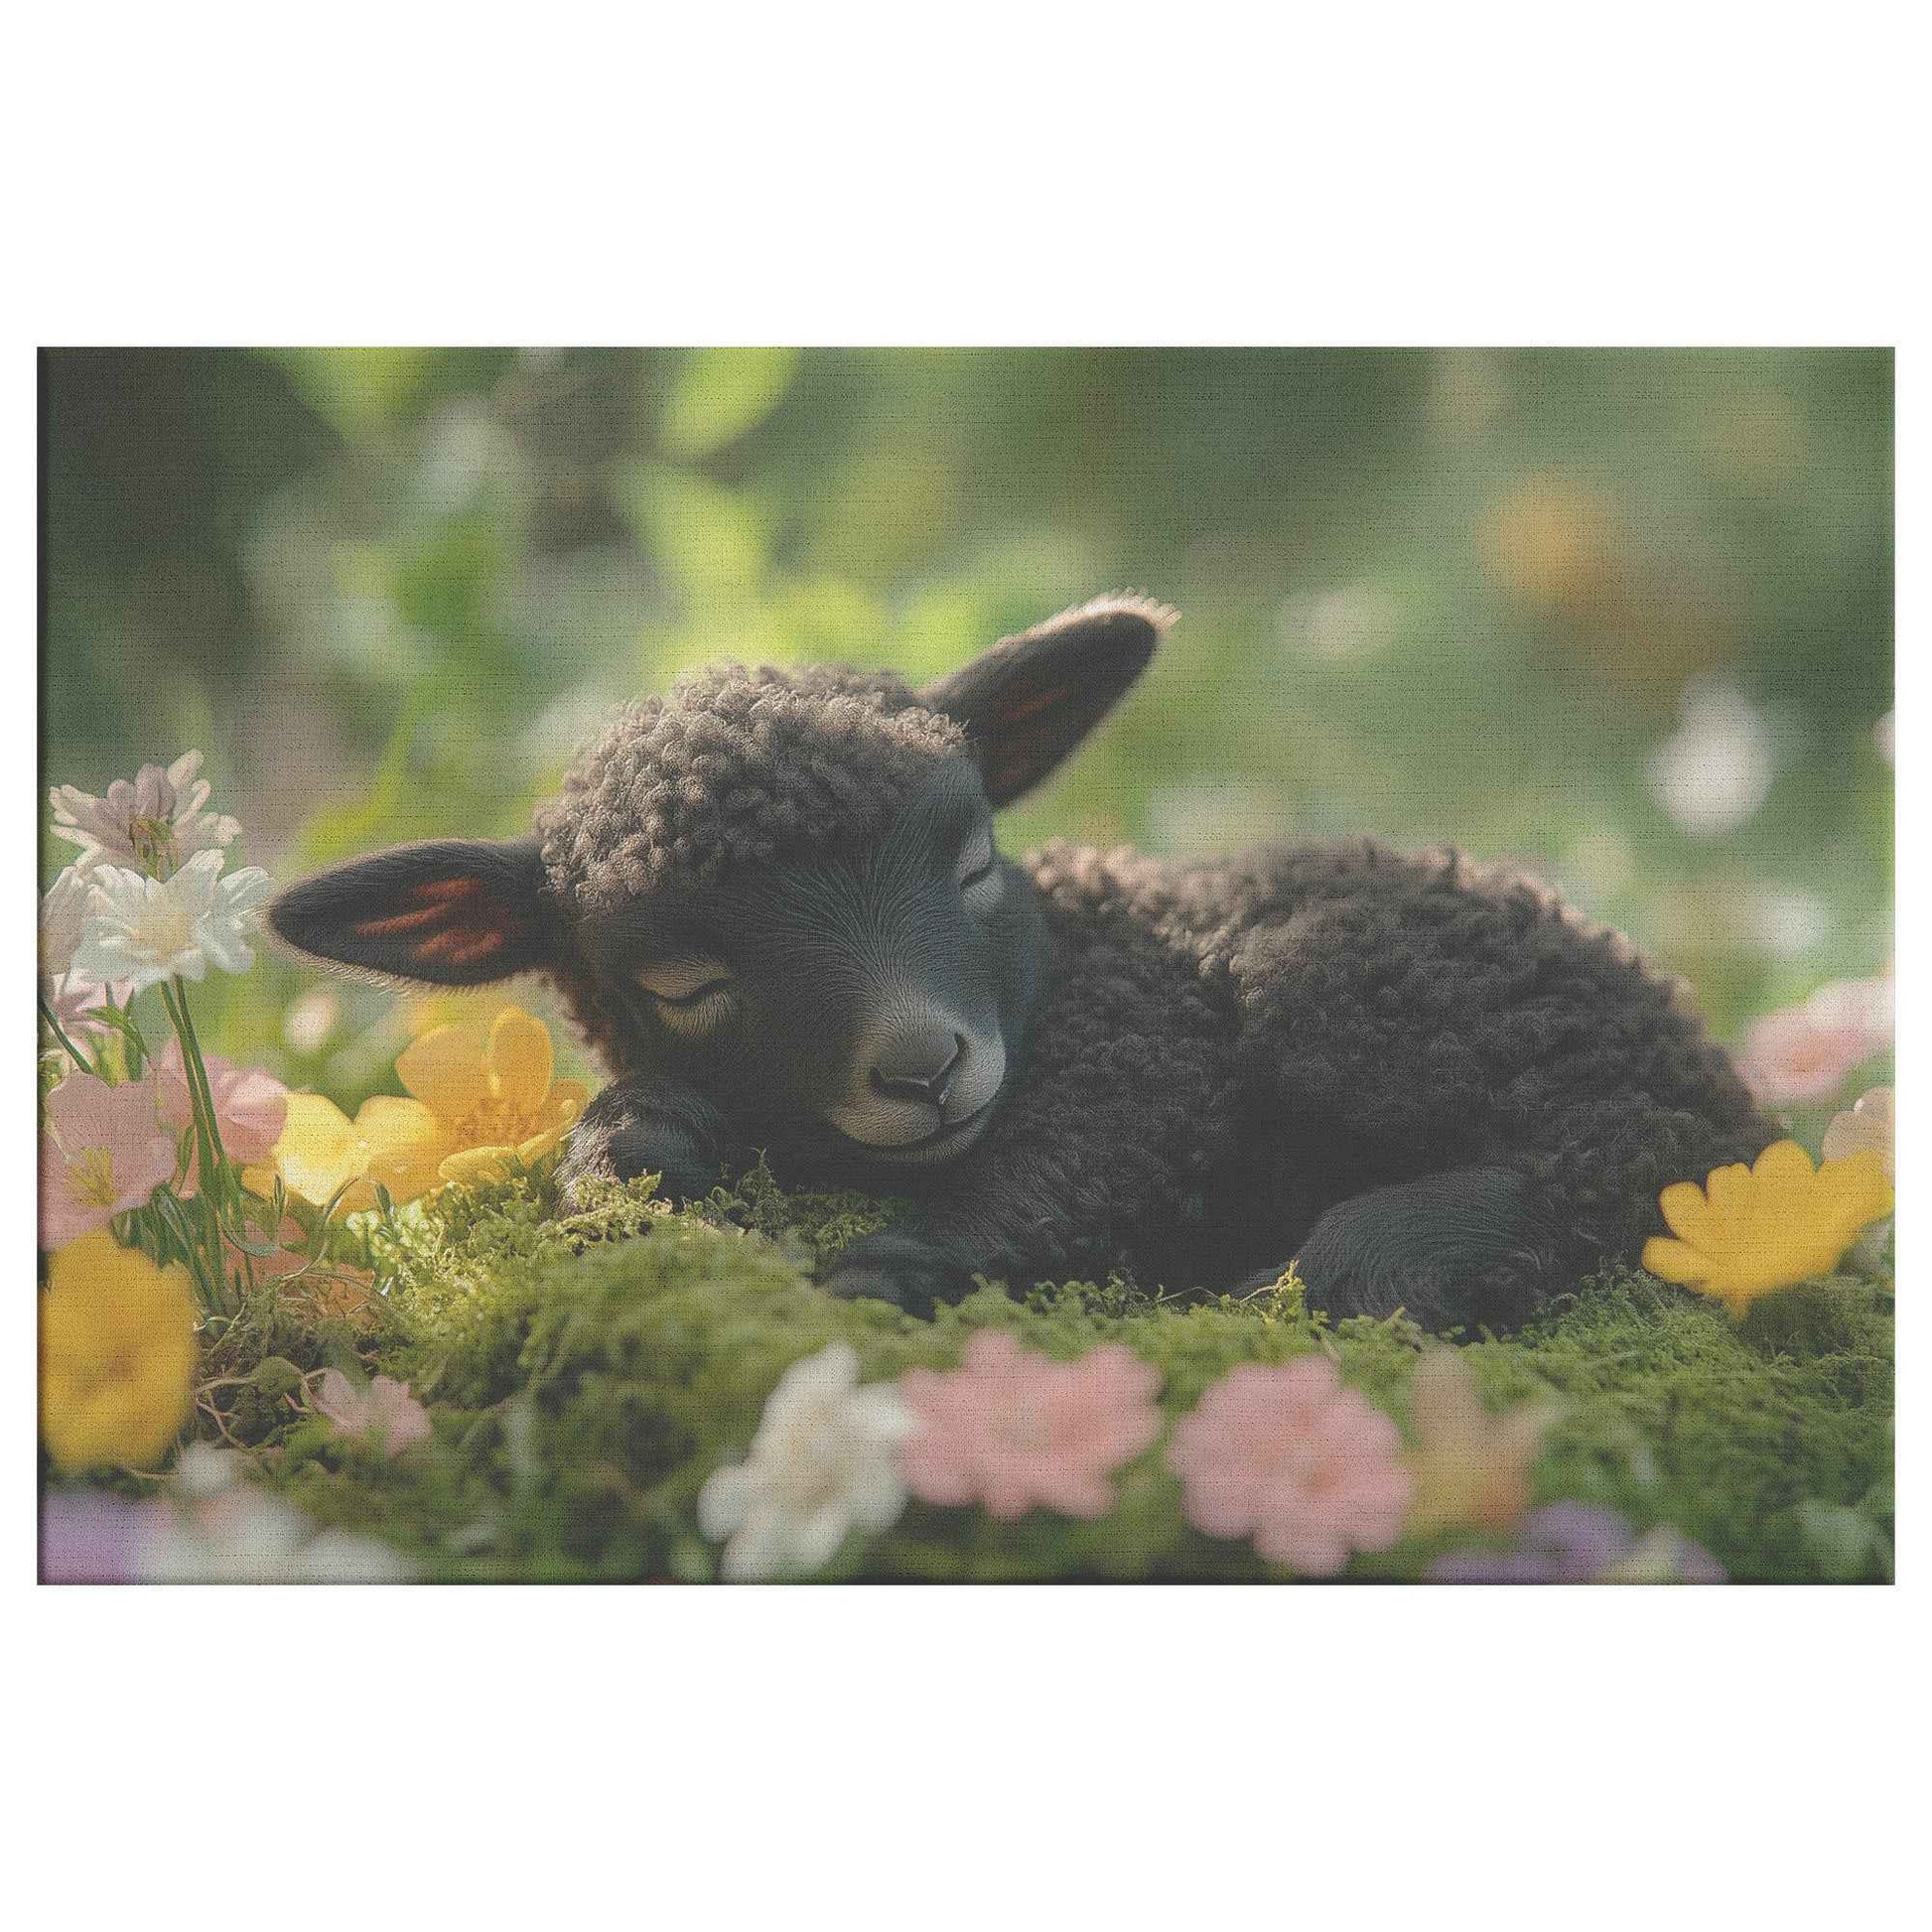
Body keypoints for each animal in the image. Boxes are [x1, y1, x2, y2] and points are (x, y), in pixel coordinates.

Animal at [268, 595, 1775, 1330]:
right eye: (681, 984)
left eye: (974, 860)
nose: (924, 1066)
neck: (1075, 970)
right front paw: (633, 1141)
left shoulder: (1147, 1073)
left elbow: (1054, 1176)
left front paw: (888, 1270)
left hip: (1355, 987)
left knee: (1615, 1164)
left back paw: (1354, 1261)